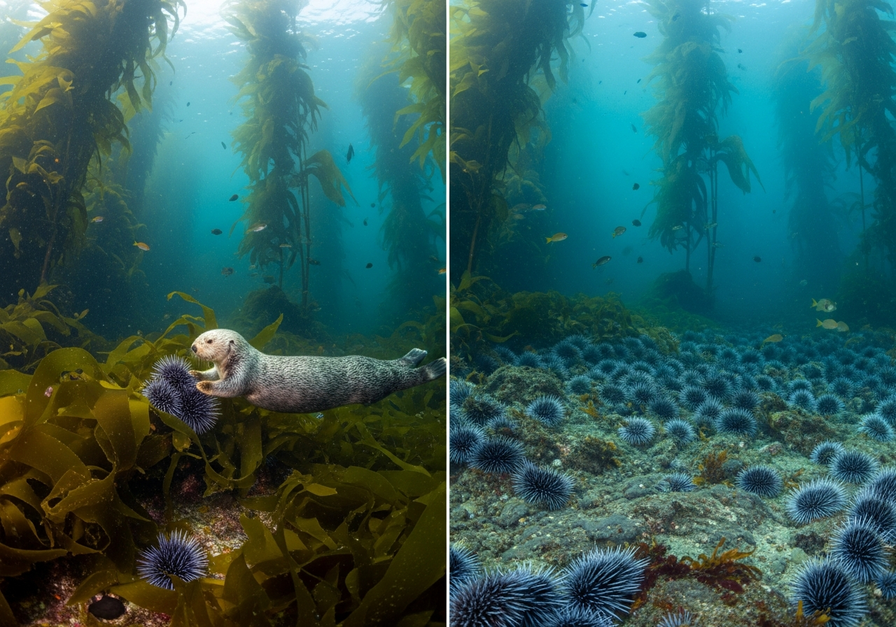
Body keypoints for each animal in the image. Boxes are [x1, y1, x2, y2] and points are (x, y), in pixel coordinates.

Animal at [189, 328, 445, 414]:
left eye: (208, 340)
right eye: (199, 336)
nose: (192, 347)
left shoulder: (243, 372)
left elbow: (229, 388)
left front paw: (203, 385)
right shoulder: (221, 370)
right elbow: (212, 374)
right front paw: (196, 374)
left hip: (375, 384)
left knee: (403, 377)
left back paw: (436, 367)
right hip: (373, 366)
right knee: (397, 363)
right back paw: (416, 353)